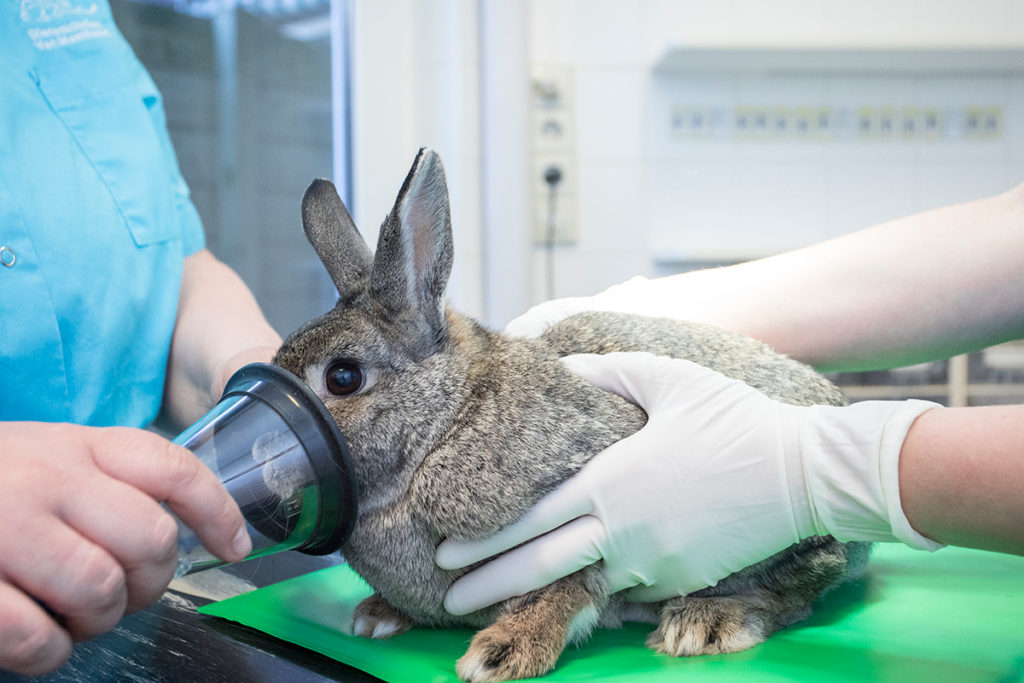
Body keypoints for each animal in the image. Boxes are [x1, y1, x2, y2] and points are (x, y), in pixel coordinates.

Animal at [276, 150, 868, 683]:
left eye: (343, 378)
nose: (270, 464)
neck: (447, 423)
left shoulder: (580, 528)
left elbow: (570, 589)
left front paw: (501, 652)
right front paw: (378, 616)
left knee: (808, 578)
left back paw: (707, 621)